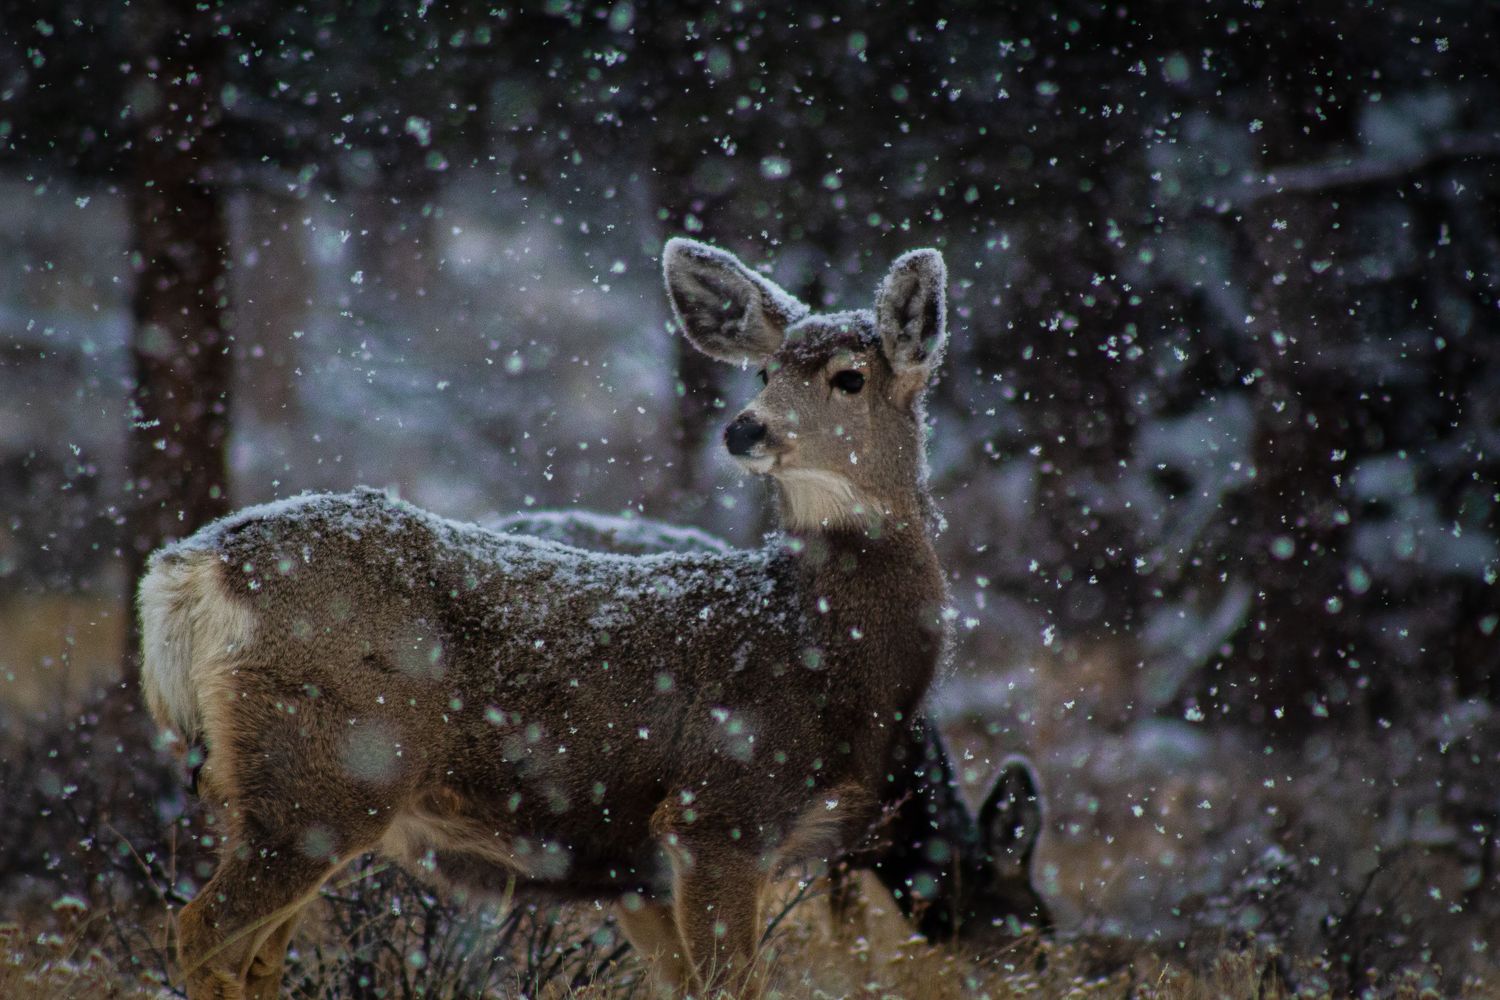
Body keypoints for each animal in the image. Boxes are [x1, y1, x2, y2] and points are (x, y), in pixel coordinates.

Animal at [139, 237, 984, 998]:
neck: (826, 653)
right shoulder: (720, 808)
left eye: (849, 378)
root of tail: (190, 567)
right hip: (326, 771)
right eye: (765, 371)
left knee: (255, 958)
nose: (746, 427)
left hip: (284, 790)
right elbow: (729, 985)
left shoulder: (637, 867)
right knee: (201, 933)